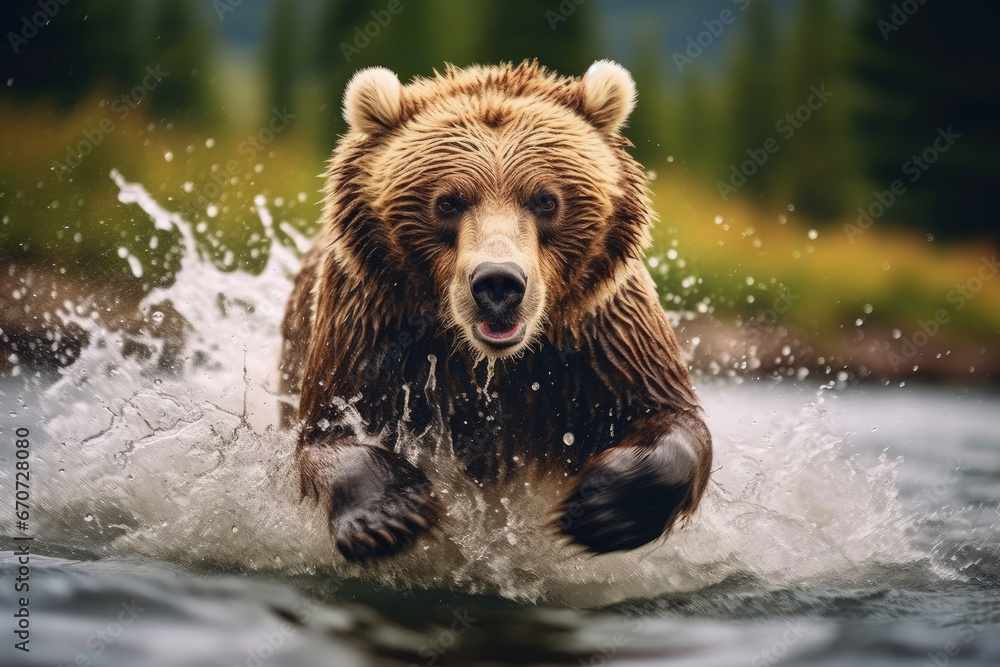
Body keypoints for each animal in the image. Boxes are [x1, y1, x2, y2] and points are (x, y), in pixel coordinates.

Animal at [279, 60, 712, 562]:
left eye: (546, 199)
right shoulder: (371, 321)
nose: (499, 283)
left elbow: (671, 415)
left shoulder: (600, 329)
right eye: (448, 201)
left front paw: (601, 506)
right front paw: (391, 513)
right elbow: (329, 430)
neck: (489, 362)